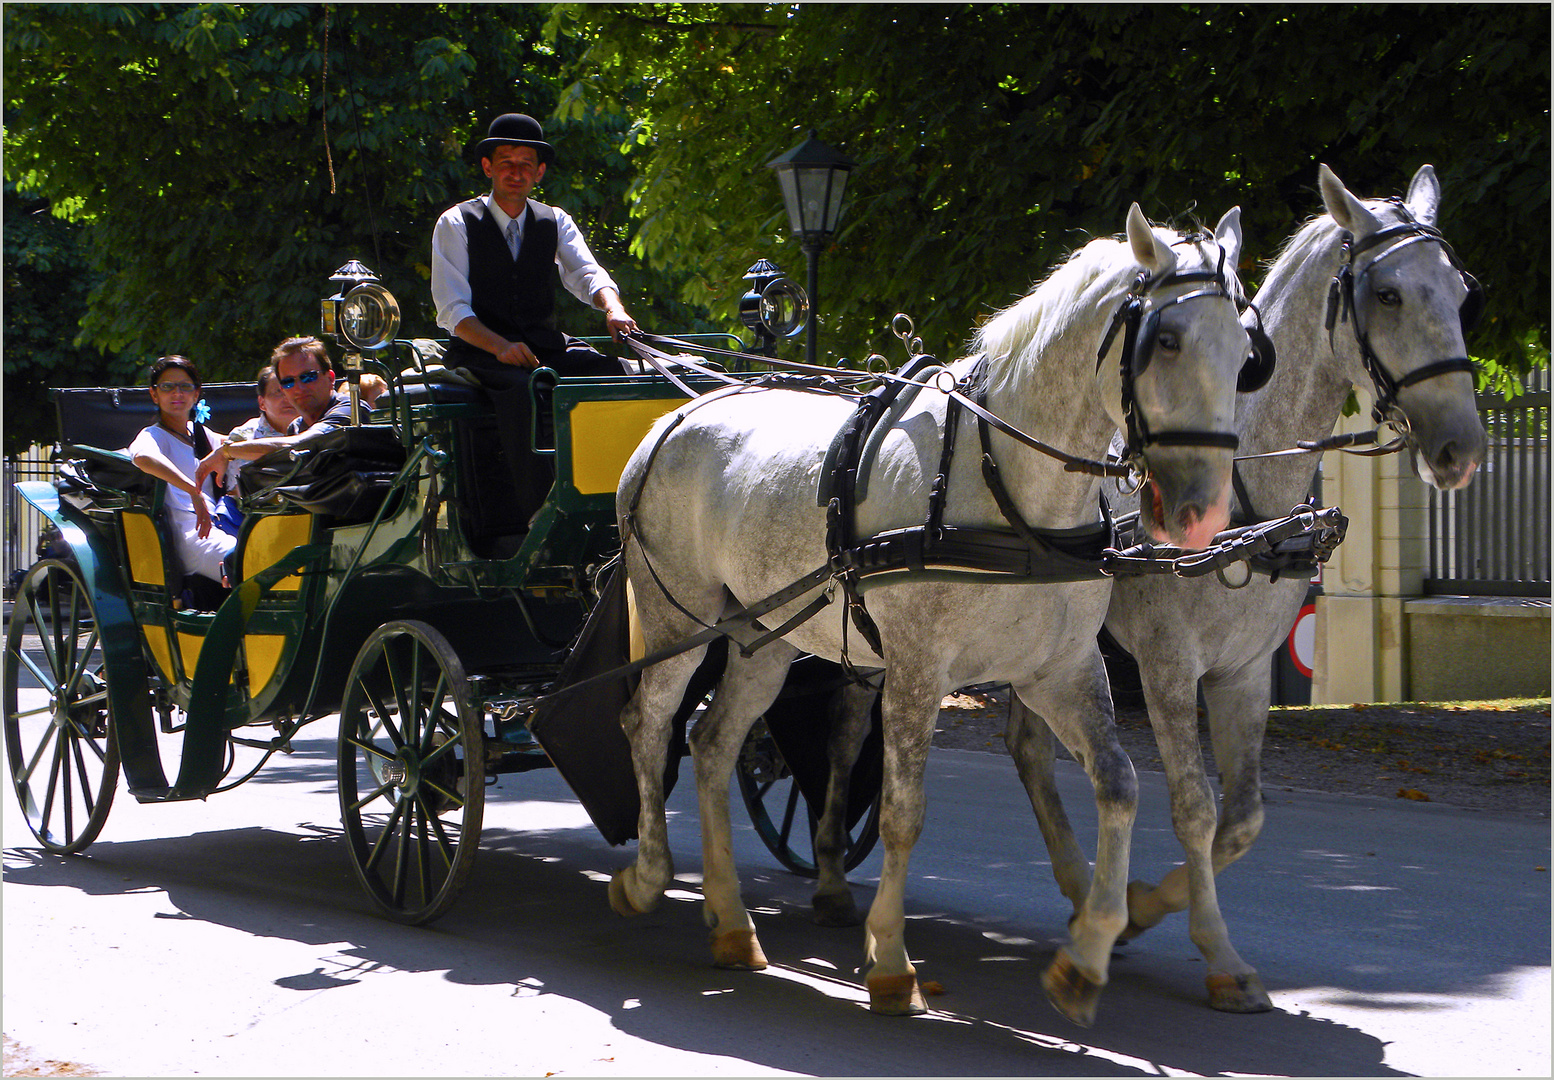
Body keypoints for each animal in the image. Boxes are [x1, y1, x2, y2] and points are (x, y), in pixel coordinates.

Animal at [612, 206, 1255, 1025]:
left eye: (1246, 353)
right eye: (1166, 341)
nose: (1204, 511)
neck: (1006, 488)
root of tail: (678, 416)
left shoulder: (1059, 670)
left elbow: (1119, 785)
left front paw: (1090, 952)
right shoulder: (918, 670)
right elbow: (903, 810)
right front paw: (890, 959)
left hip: (765, 637)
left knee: (715, 742)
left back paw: (730, 920)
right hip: (679, 623)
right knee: (649, 723)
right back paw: (647, 875)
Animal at [1006, 160, 1491, 1013]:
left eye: (1461, 293)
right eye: (1388, 295)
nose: (1458, 447)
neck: (1245, 493)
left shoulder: (1242, 672)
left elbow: (1243, 819)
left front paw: (1140, 908)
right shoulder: (1169, 666)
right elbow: (1196, 808)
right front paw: (1217, 951)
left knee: (1031, 750)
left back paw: (1082, 895)